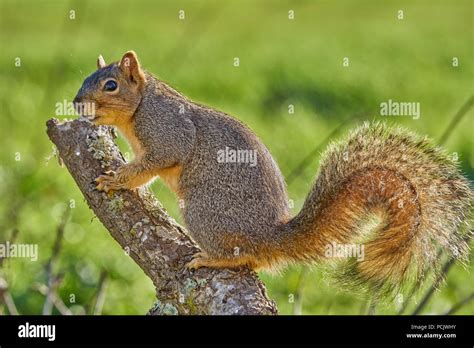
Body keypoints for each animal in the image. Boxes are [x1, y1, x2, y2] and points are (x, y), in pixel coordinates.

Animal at [72, 51, 472, 296]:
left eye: (111, 85)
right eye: (86, 77)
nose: (76, 103)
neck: (140, 108)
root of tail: (269, 236)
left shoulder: (168, 132)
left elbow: (156, 162)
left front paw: (114, 178)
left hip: (203, 212)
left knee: (242, 256)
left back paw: (211, 257)